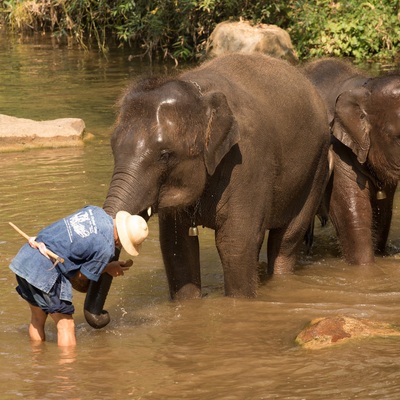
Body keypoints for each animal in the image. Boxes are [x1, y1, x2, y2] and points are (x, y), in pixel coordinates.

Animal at [89, 51, 330, 312]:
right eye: (113, 148)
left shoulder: (249, 162)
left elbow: (236, 243)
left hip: (316, 166)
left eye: (165, 155)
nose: (103, 314)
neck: (200, 93)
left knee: (287, 239)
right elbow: (176, 247)